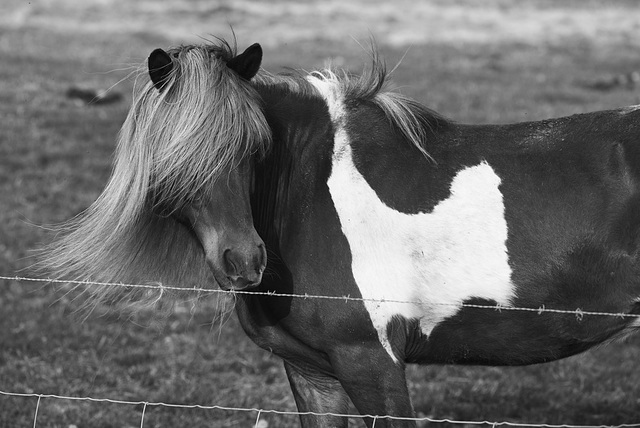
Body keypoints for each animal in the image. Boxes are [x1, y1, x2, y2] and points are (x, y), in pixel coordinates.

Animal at [41, 38, 640, 426]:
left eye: (252, 147)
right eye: (174, 157)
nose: (245, 261)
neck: (307, 196)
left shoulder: (371, 362)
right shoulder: (314, 373)